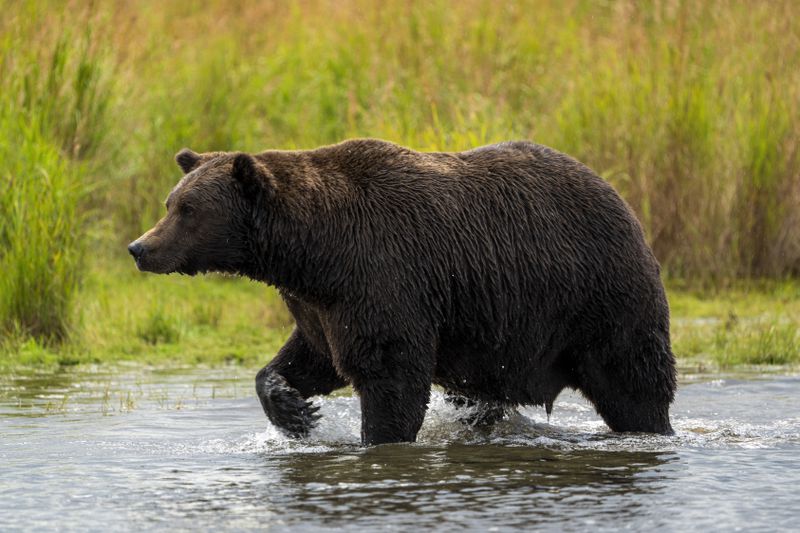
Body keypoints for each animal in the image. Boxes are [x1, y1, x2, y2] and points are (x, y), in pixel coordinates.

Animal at [130, 138, 676, 444]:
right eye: (171, 202)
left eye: (188, 210)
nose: (140, 247)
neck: (313, 251)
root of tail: (621, 200)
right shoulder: (321, 303)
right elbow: (311, 359)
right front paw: (295, 410)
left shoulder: (383, 276)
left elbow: (389, 375)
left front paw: (376, 440)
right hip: (498, 336)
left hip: (598, 296)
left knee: (633, 378)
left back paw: (652, 427)